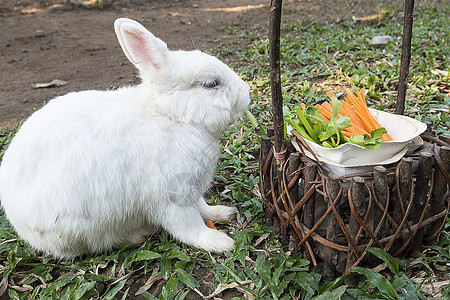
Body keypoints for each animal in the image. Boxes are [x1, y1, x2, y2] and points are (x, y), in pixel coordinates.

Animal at [0, 17, 250, 258]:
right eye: (211, 84)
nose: (246, 93)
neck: (170, 116)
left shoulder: (191, 190)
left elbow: (202, 207)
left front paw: (223, 213)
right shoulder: (172, 197)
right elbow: (188, 227)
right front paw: (219, 242)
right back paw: (138, 235)